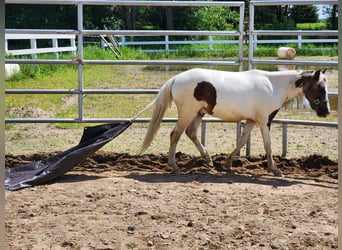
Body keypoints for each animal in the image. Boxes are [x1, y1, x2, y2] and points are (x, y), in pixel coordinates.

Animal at [135, 68, 330, 177]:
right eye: (320, 87)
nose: (326, 112)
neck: (273, 86)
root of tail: (176, 79)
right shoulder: (264, 120)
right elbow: (268, 146)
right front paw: (275, 170)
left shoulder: (251, 120)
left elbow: (242, 142)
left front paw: (227, 164)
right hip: (187, 112)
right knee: (175, 134)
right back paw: (175, 168)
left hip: (198, 113)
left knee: (191, 133)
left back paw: (208, 159)